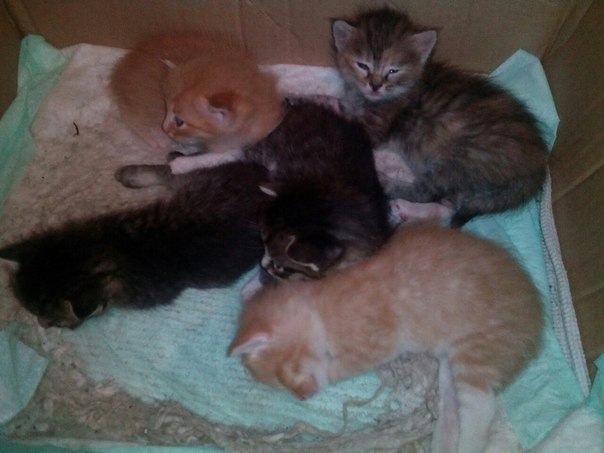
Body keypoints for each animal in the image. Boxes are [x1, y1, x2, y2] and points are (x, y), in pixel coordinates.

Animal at [0, 162, 269, 328]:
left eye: (55, 322)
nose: (42, 325)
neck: (108, 248)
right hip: (203, 183)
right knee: (173, 172)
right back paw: (133, 175)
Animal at [110, 31, 284, 174]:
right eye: (166, 107)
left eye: (179, 121)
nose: (165, 128)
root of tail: (121, 67)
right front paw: (181, 162)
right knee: (129, 115)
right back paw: (156, 137)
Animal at [117, 102, 392, 294]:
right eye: (264, 243)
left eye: (282, 266)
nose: (262, 263)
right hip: (258, 147)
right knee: (224, 153)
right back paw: (179, 163)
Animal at [229, 223, 543, 453]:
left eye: (286, 372)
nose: (304, 397)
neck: (321, 307)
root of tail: (535, 319)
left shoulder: (381, 337)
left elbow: (342, 366)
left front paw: (330, 373)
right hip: (449, 365)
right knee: (452, 407)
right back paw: (443, 440)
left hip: (475, 348)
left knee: (481, 405)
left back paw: (468, 443)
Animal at [331, 7, 549, 226]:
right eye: (362, 65)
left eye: (393, 70)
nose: (375, 86)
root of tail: (537, 163)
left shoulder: (377, 126)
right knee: (449, 206)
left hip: (462, 158)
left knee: (426, 192)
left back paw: (385, 183)